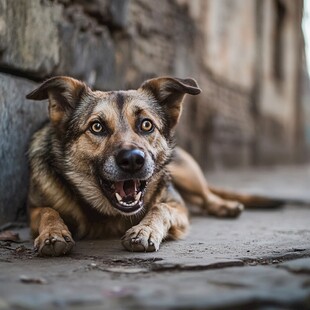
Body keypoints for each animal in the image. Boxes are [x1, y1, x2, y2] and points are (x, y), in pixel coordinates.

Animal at [26, 76, 278, 256]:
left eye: (146, 124)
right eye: (97, 127)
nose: (132, 160)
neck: (109, 214)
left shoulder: (177, 206)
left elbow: (160, 207)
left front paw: (144, 230)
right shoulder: (34, 209)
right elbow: (48, 211)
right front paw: (53, 233)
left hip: (185, 174)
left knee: (206, 195)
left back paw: (225, 206)